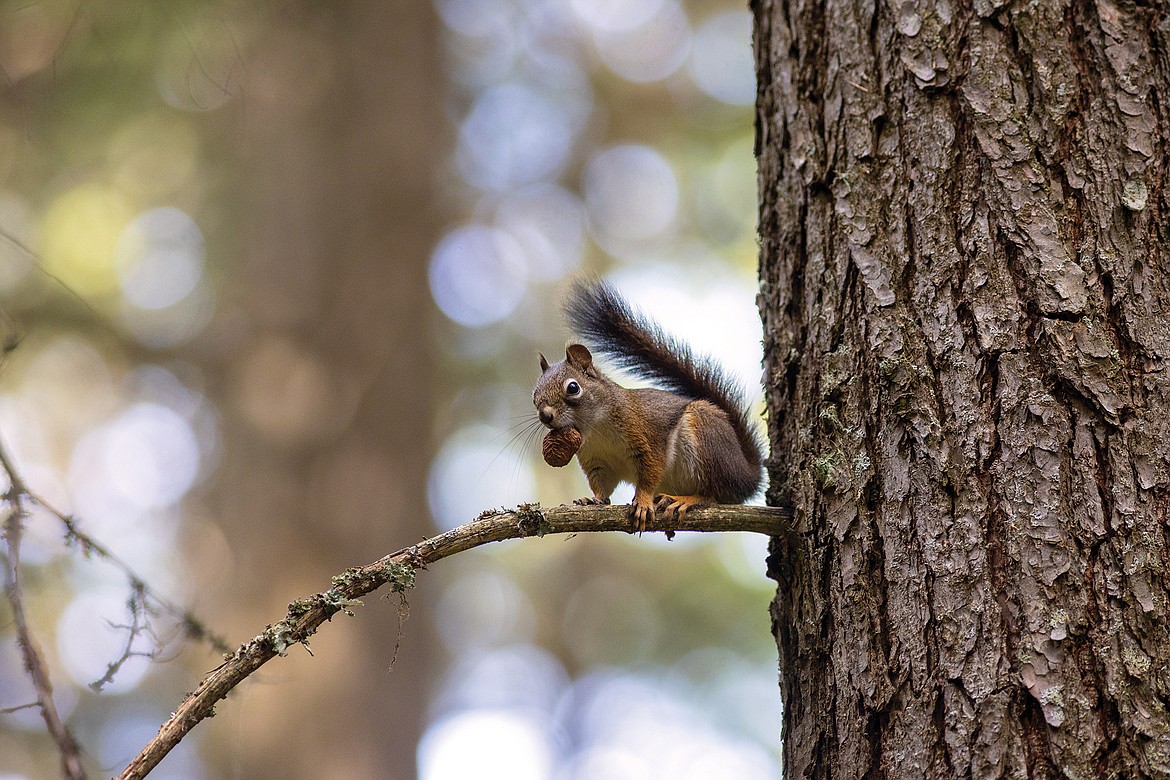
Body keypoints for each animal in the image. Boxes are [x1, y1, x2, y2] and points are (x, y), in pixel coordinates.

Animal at [533, 279, 767, 530]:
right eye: (534, 396)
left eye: (573, 388)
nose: (545, 415)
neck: (595, 429)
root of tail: (745, 476)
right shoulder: (596, 459)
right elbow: (602, 486)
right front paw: (593, 500)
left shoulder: (645, 437)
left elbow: (650, 473)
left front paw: (644, 501)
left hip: (706, 440)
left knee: (714, 494)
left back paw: (687, 500)